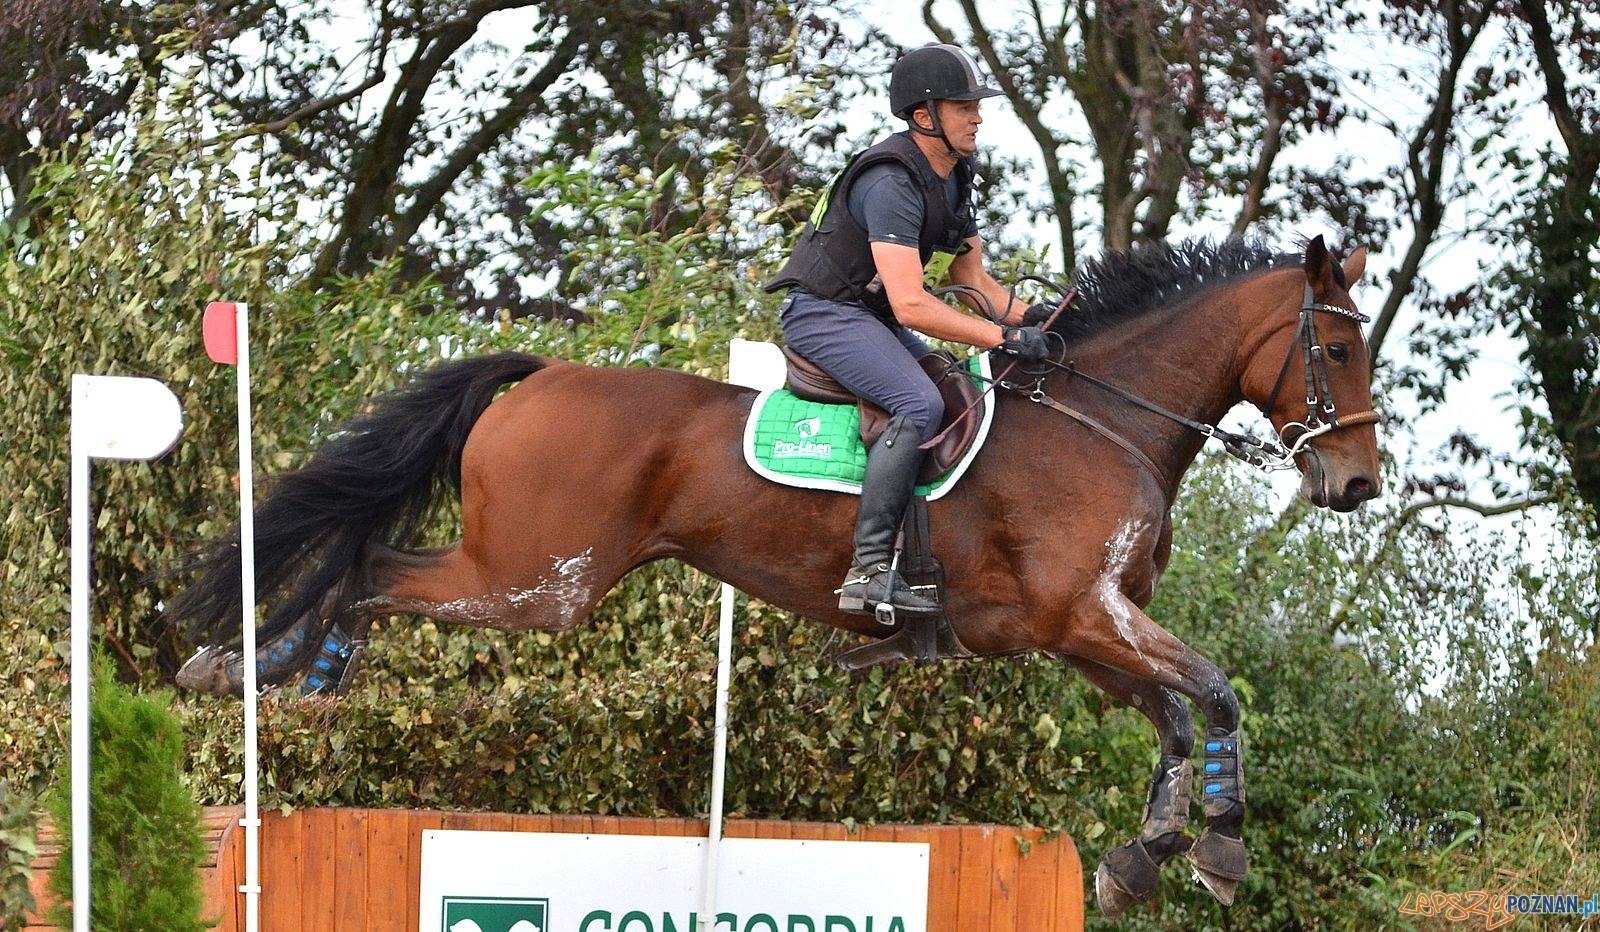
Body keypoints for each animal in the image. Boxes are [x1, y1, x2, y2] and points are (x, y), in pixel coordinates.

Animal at [168, 237, 1382, 915]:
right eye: (1339, 347)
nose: (1357, 483)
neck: (1104, 421)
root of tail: (545, 370)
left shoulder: (1069, 628)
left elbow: (1175, 716)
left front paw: (1149, 857)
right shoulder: (1083, 613)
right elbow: (1215, 690)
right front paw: (1220, 847)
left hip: (529, 578)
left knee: (367, 559)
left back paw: (245, 665)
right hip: (535, 583)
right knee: (372, 563)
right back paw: (292, 673)